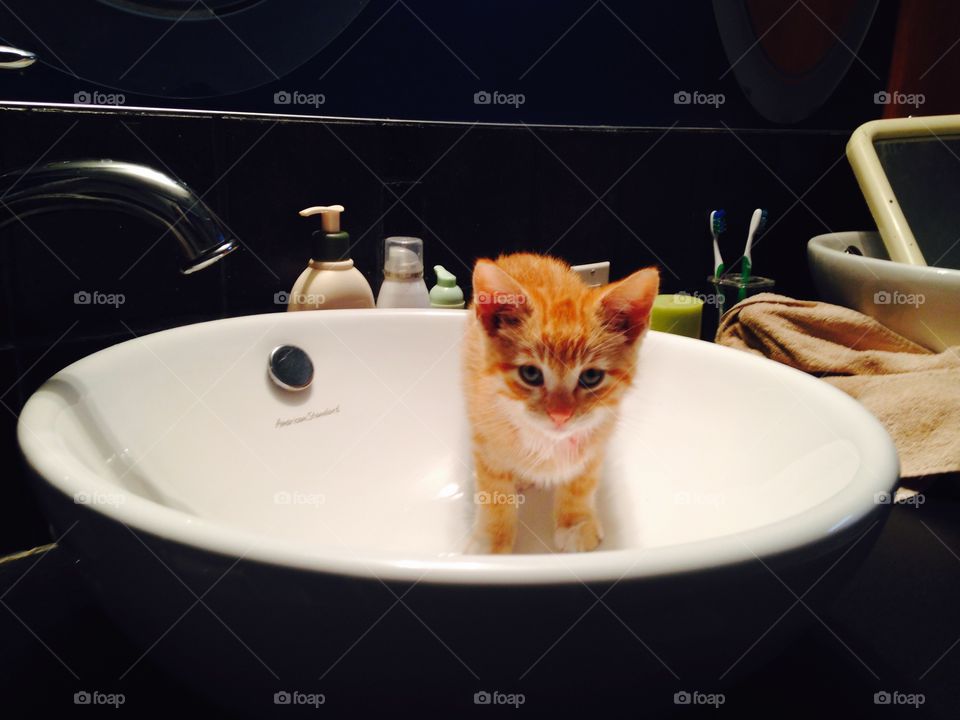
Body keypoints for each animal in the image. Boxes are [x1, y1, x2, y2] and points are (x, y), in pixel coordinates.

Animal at [464, 256, 660, 556]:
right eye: (530, 374)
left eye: (591, 377)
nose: (560, 415)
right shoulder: (485, 438)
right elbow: (494, 490)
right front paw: (491, 540)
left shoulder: (598, 437)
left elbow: (582, 481)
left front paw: (576, 524)